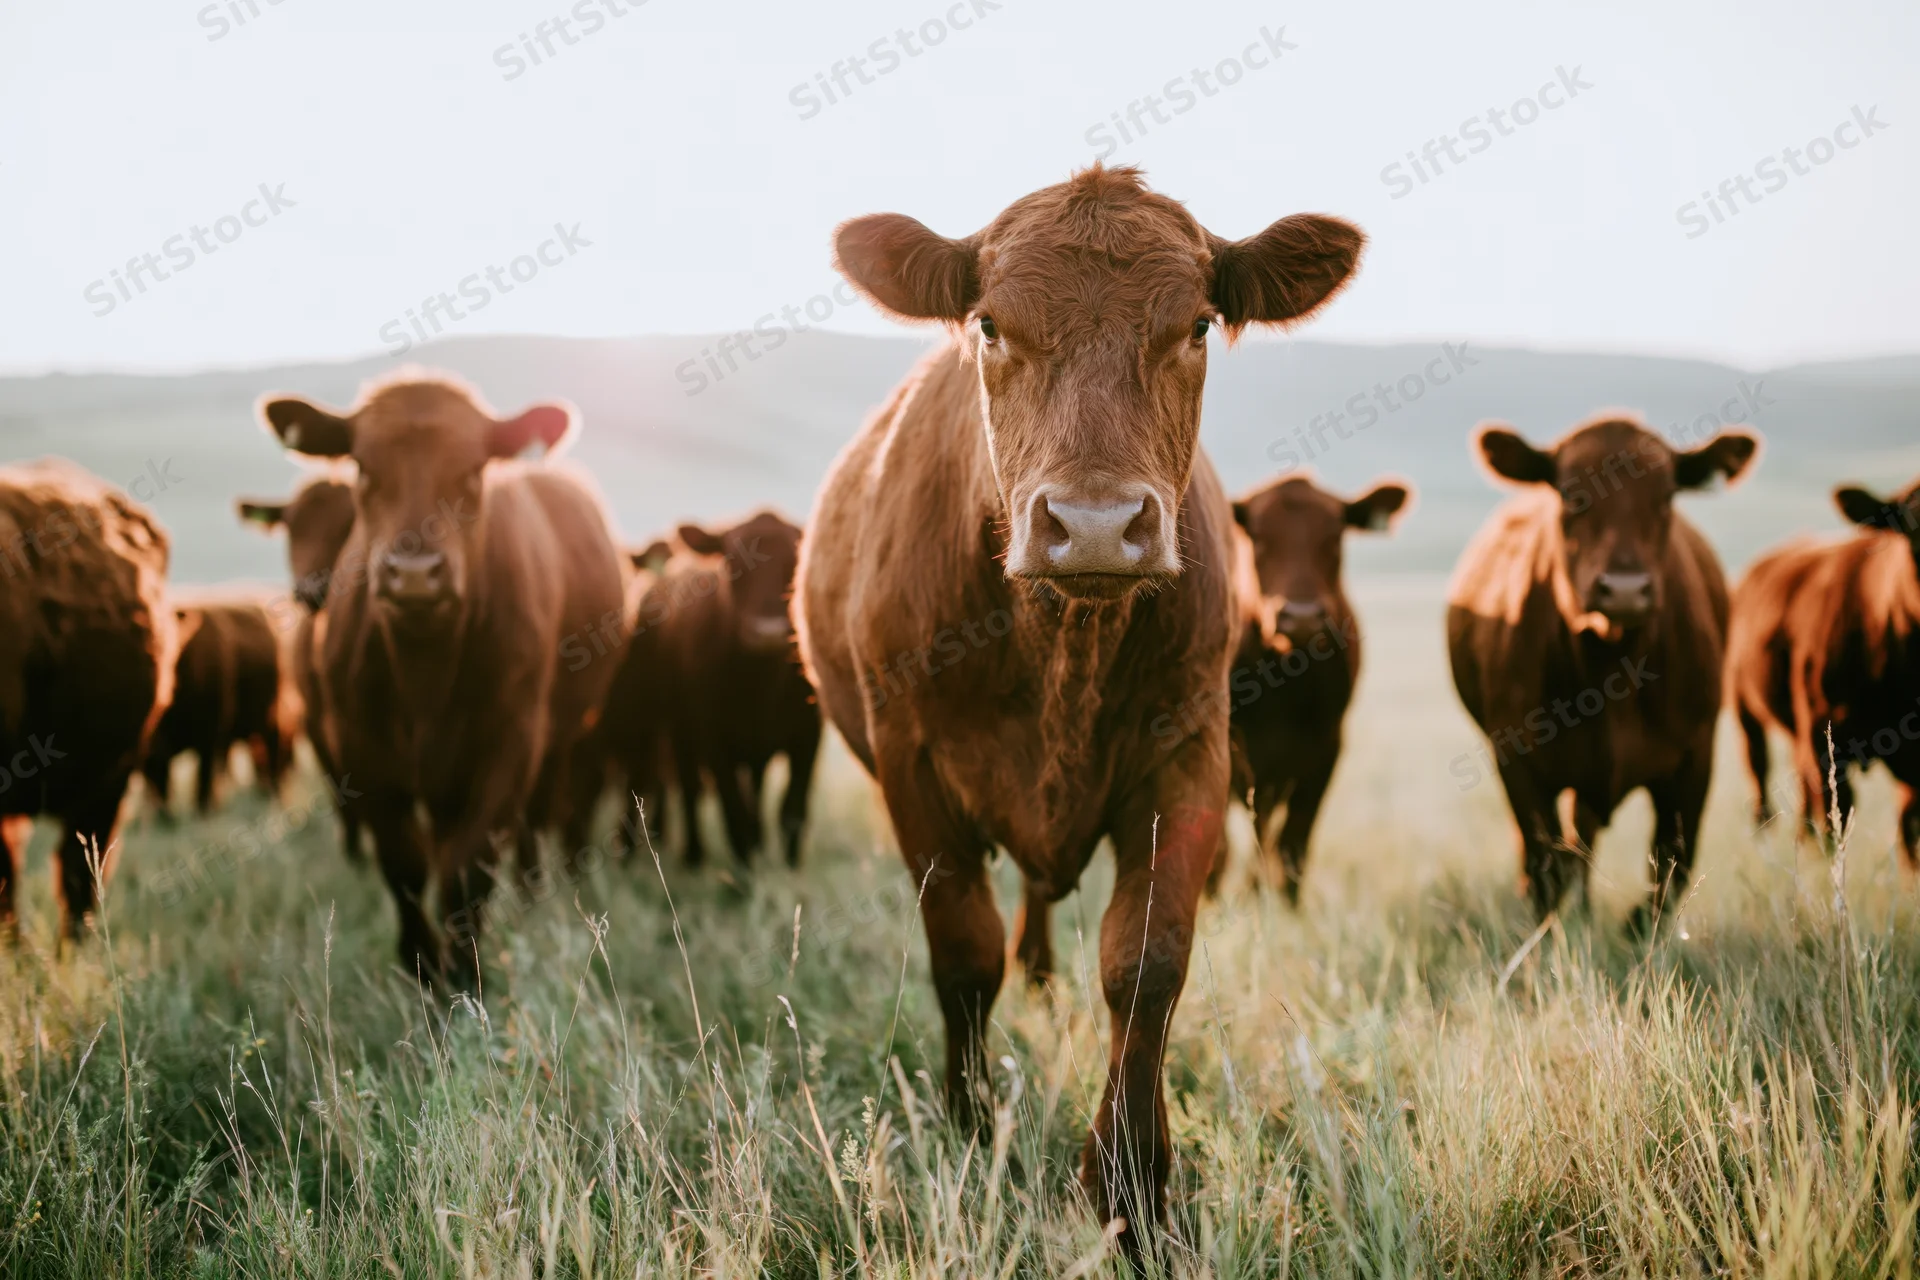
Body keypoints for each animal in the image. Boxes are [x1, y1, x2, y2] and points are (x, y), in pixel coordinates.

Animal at [141, 596, 295, 816]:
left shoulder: (210, 737)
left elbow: (204, 781)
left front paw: (204, 812)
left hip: (271, 717)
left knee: (273, 753)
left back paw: (274, 797)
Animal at [256, 373, 626, 988]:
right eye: (363, 468)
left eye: (473, 472)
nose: (413, 575)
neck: (423, 673)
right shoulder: (358, 746)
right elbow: (404, 863)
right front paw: (419, 963)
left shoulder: (510, 742)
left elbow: (467, 866)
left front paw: (462, 974)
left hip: (555, 743)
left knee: (530, 822)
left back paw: (532, 895)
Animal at [793, 164, 1364, 1254]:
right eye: (990, 323)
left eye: (1195, 324)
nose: (1095, 524)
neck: (1064, 645)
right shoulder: (910, 760)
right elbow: (964, 950)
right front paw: (970, 1125)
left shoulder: (1191, 752)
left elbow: (1146, 961)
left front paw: (1135, 1185)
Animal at [1447, 415, 1758, 935]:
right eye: (1571, 494)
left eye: (1667, 495)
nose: (1626, 590)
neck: (1610, 666)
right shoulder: (1517, 757)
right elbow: (1546, 864)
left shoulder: (1697, 754)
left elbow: (1673, 862)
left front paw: (1635, 932)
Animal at [1728, 477, 1920, 859]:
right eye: (1912, 530)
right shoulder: (1825, 736)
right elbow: (1836, 819)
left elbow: (1909, 826)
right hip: (1745, 708)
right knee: (1760, 774)